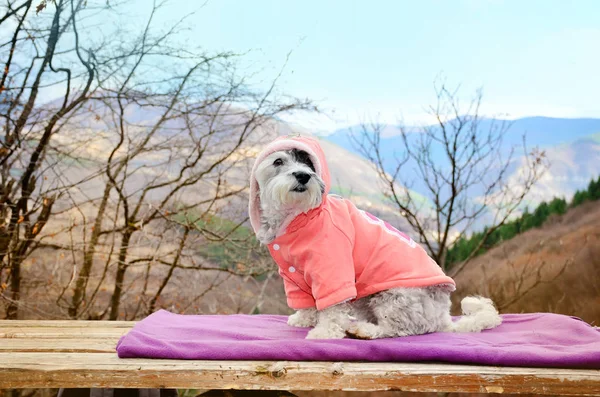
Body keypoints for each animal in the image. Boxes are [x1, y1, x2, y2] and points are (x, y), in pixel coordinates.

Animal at [248, 135, 502, 338]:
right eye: (278, 161)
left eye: (308, 163)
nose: (303, 175)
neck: (297, 218)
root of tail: (444, 318)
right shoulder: (293, 277)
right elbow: (306, 302)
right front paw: (304, 319)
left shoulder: (333, 271)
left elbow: (332, 308)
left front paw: (324, 332)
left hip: (395, 296)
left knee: (400, 328)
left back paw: (364, 330)